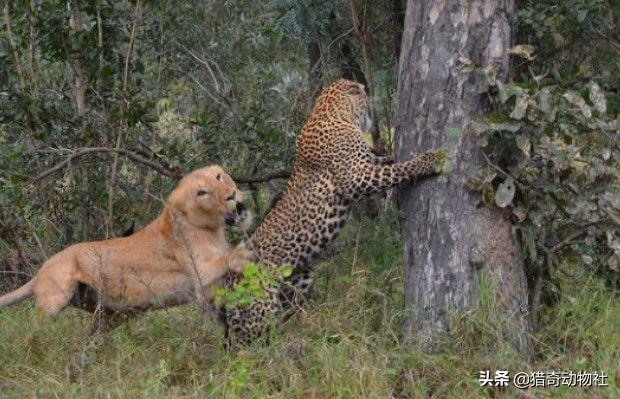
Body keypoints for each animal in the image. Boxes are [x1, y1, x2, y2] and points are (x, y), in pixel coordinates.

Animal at [220, 78, 444, 346]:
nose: (370, 97)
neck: (333, 112)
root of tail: (226, 291)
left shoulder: (365, 163)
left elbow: (387, 162)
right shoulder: (355, 178)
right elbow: (399, 169)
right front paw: (432, 159)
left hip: (299, 282)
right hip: (260, 308)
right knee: (251, 345)